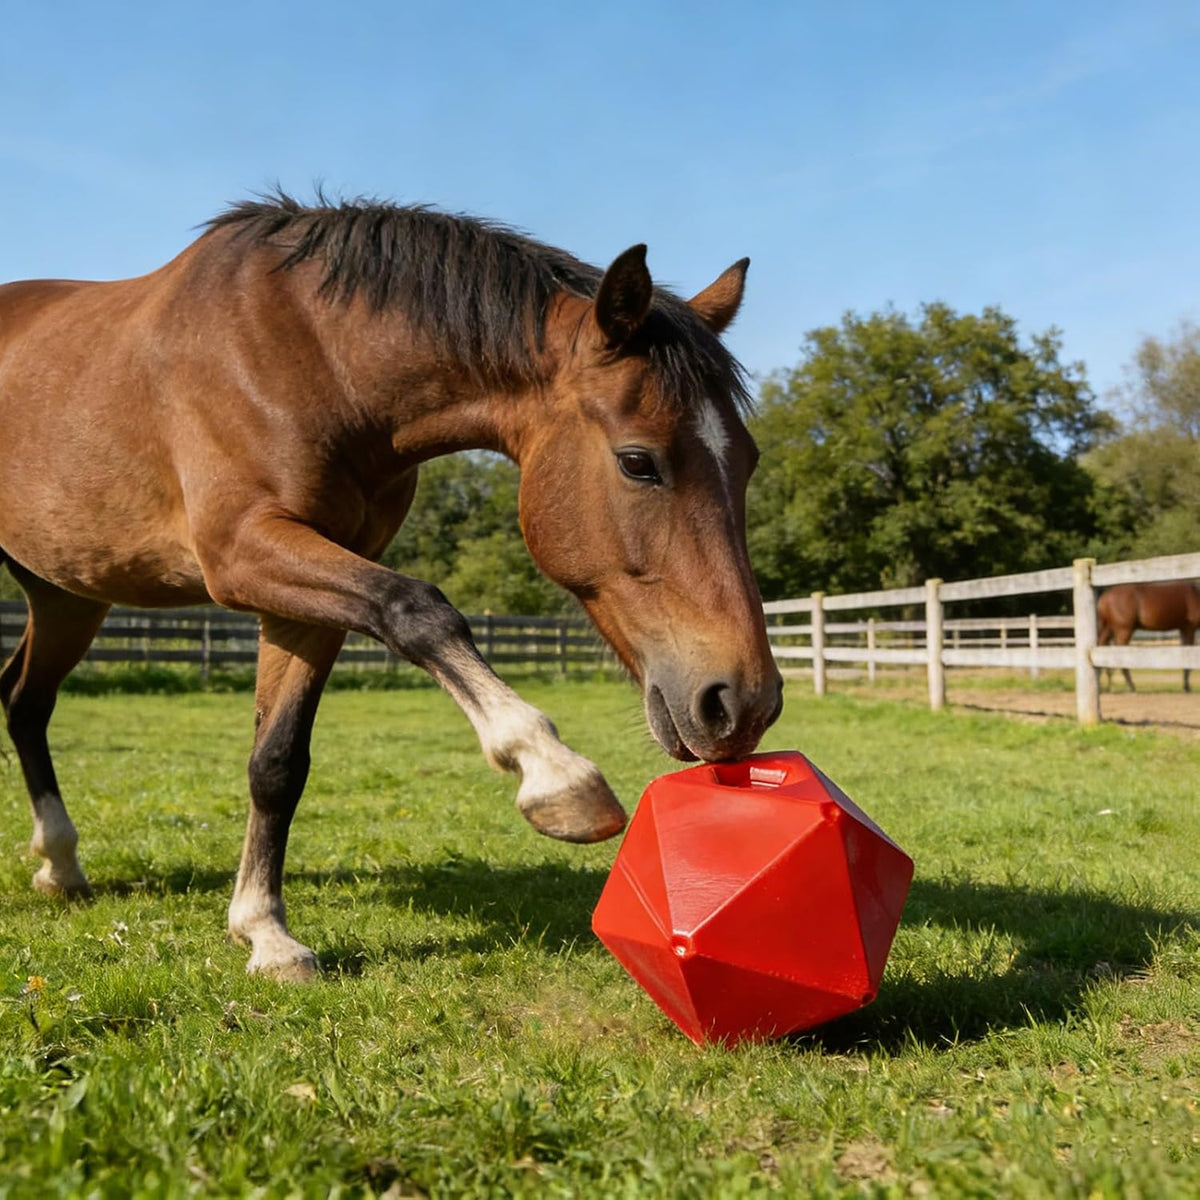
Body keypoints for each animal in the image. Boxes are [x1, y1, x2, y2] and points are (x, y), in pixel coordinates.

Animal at [0, 193, 782, 982]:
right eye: (637, 462)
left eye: (748, 462)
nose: (742, 701)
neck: (305, 355)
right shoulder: (244, 552)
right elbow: (418, 609)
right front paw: (556, 777)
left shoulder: (309, 591)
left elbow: (277, 763)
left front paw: (264, 932)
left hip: (68, 594)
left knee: (25, 701)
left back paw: (61, 866)